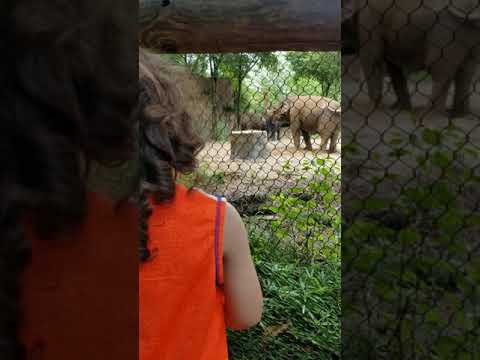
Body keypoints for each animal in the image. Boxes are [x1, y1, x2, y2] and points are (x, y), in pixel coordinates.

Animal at [342, 0, 480, 118]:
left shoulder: (368, 18)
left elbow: (372, 57)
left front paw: (377, 108)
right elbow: (393, 67)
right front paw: (401, 109)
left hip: (445, 26)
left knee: (440, 69)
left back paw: (429, 115)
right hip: (466, 30)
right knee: (466, 71)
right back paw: (459, 115)